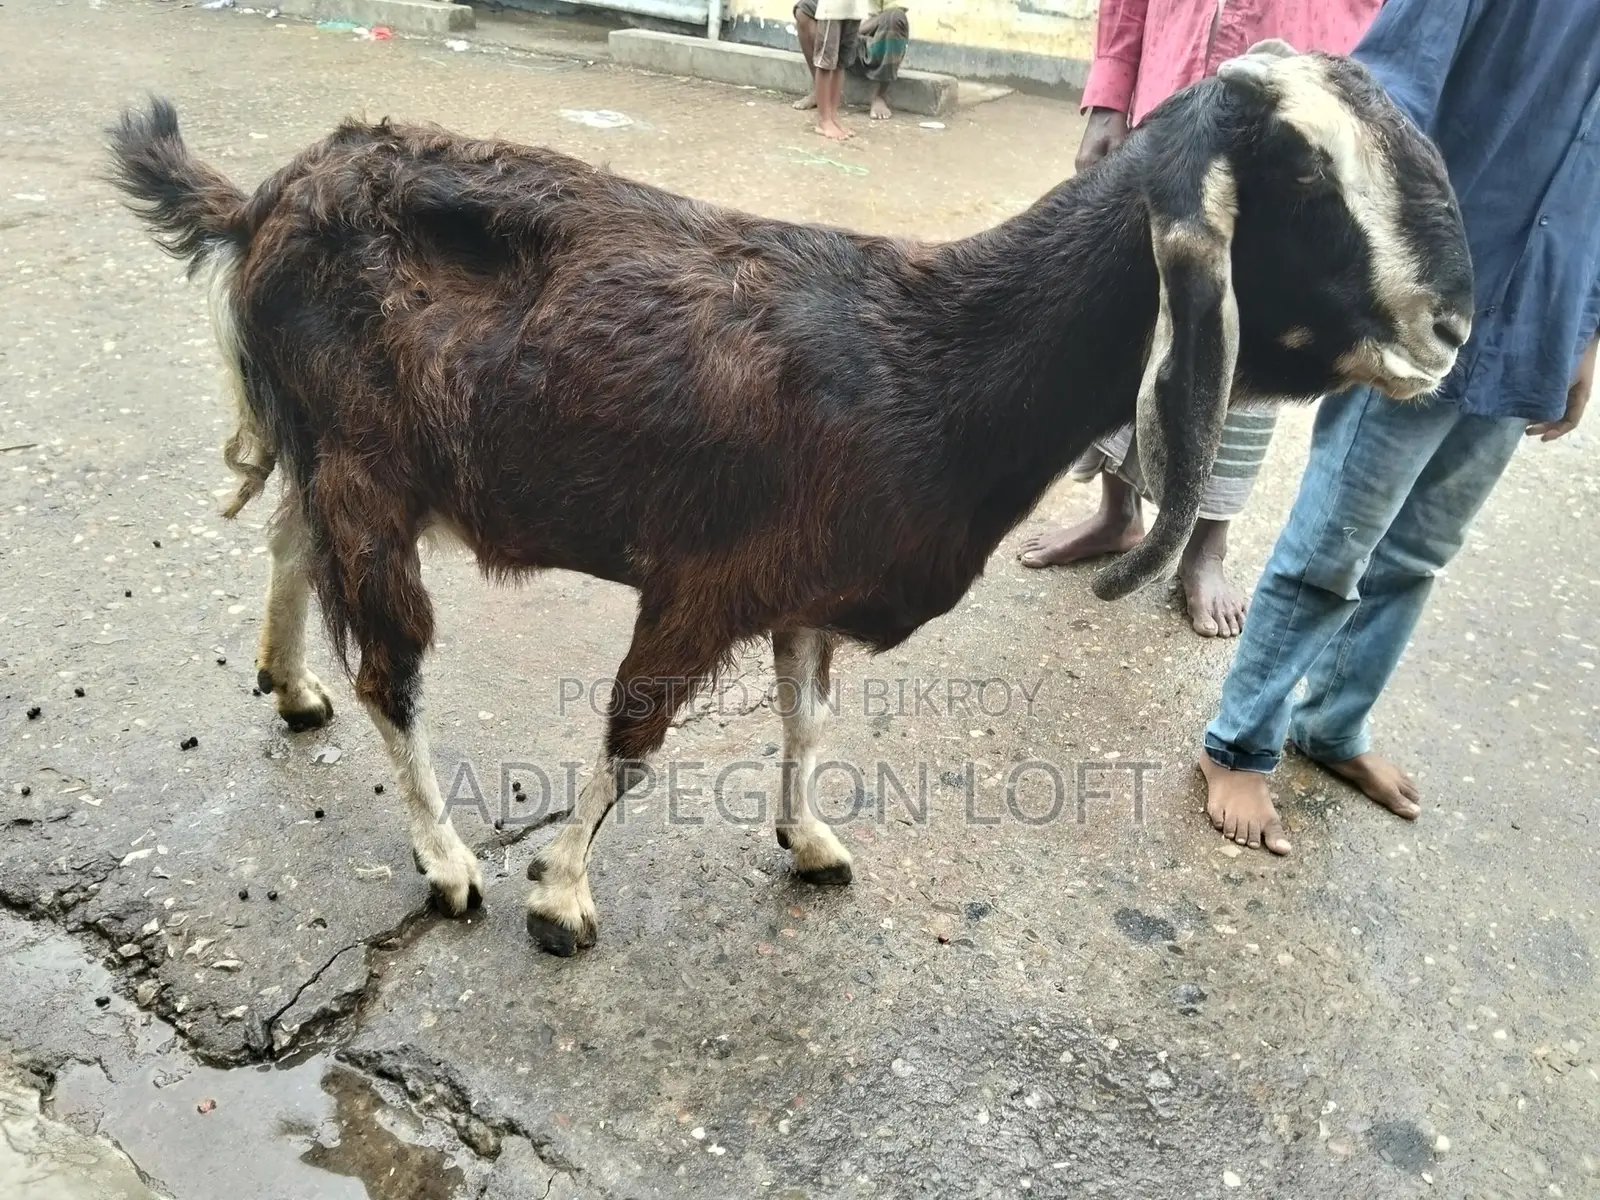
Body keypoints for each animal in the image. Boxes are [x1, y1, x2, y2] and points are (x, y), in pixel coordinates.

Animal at [108, 40, 1471, 955]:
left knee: (290, 542)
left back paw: (288, 684)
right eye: (1307, 181)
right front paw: (560, 896)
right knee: (392, 667)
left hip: (332, 450)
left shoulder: (811, 582)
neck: (939, 357)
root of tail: (265, 199)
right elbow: (635, 731)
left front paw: (807, 841)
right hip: (371, 468)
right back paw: (445, 862)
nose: (1455, 330)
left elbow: (809, 725)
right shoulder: (707, 573)